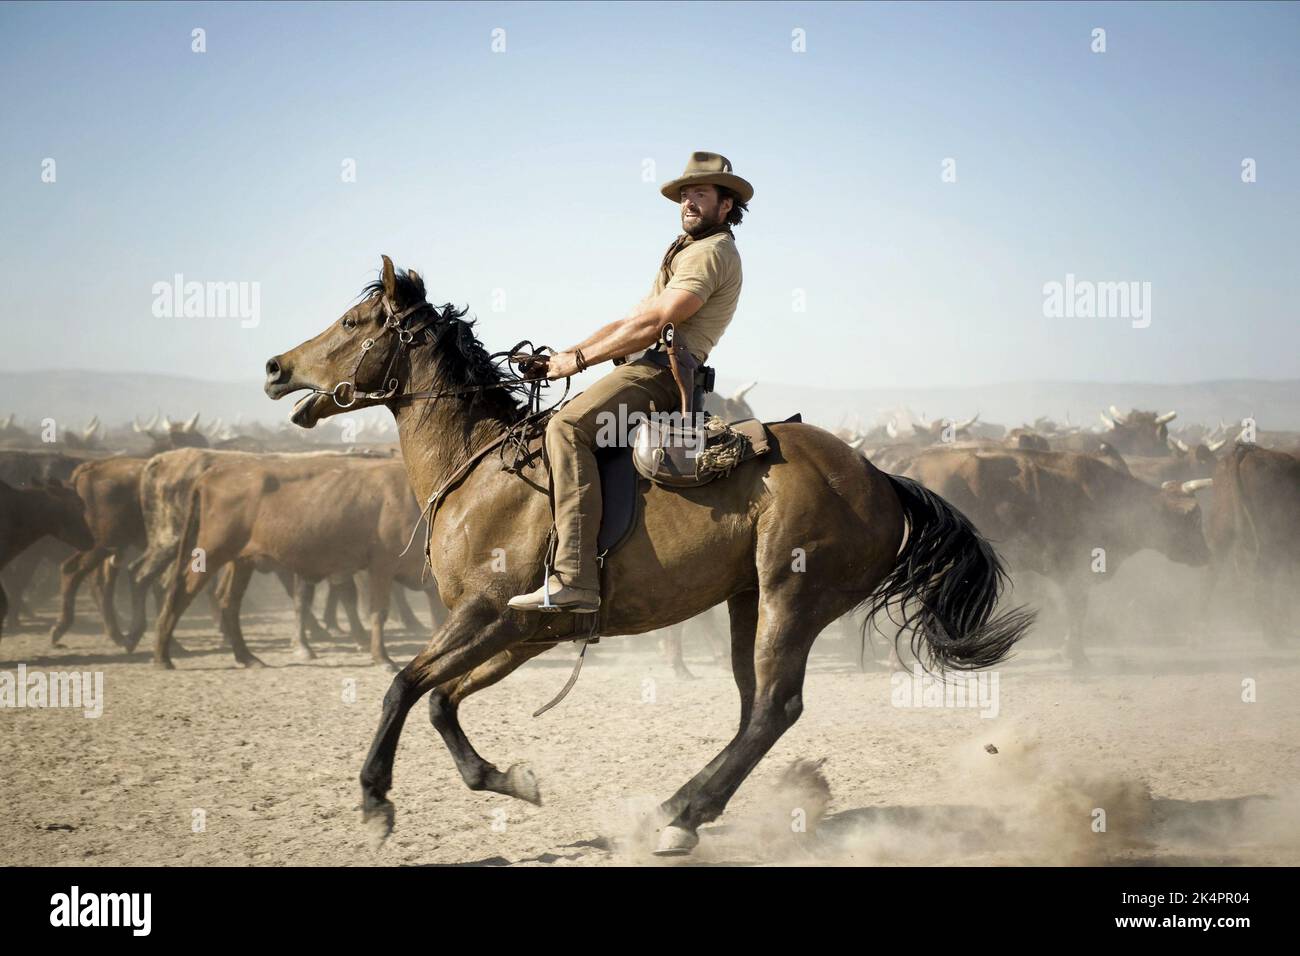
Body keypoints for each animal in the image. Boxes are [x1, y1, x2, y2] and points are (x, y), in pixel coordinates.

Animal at [266, 257, 1034, 858]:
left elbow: (403, 685)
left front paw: (375, 802)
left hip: (793, 597)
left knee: (776, 706)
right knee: (754, 706)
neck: (484, 467)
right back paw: (695, 810)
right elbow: (441, 700)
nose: (275, 367)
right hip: (748, 602)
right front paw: (512, 780)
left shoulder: (490, 614)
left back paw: (678, 814)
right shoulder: (524, 630)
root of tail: (878, 477)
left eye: (353, 322)